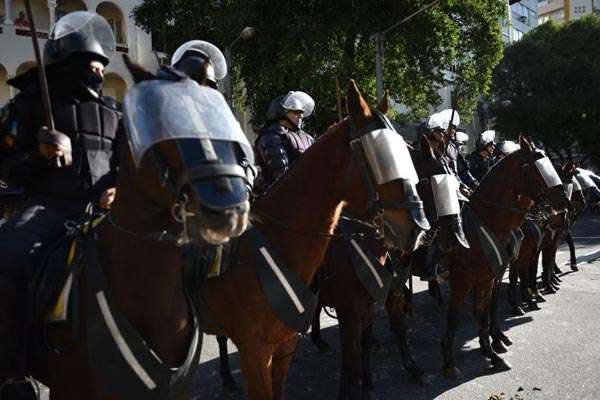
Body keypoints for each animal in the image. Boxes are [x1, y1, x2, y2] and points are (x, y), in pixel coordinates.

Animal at [198, 79, 426, 398]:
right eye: (382, 157)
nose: (417, 228)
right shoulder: (348, 312)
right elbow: (351, 362)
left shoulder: (371, 303)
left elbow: (377, 341)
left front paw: (391, 374)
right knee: (220, 339)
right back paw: (227, 377)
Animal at [436, 138, 568, 378]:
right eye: (536, 168)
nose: (564, 204)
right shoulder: (462, 281)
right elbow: (455, 318)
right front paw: (449, 362)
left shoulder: (489, 276)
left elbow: (484, 312)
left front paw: (493, 351)